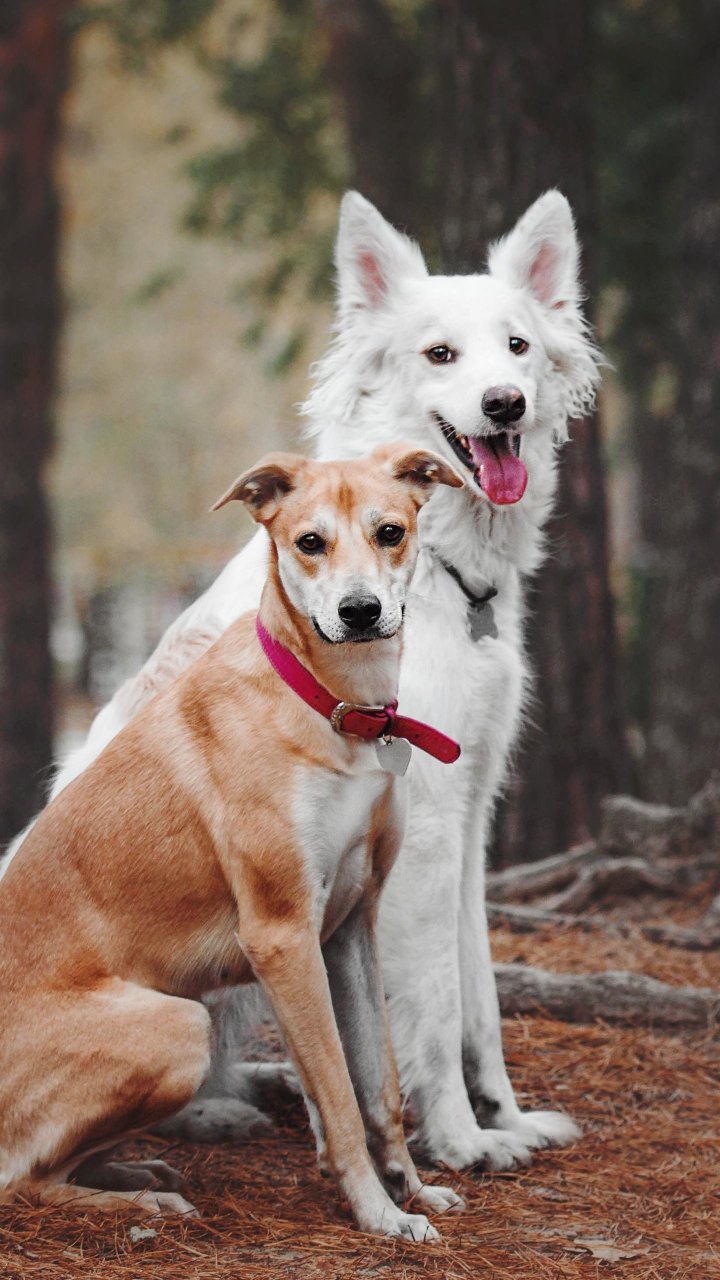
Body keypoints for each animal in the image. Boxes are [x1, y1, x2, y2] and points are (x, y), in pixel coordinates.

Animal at [0, 442, 458, 1239]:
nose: (360, 612)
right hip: (182, 1026)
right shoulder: (283, 935)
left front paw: (413, 1189)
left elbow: (379, 1083)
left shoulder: (351, 926)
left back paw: (132, 1173)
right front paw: (376, 1211)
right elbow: (338, 1095)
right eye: (309, 542)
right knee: (20, 1179)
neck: (330, 701)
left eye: (391, 532)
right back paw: (139, 1201)